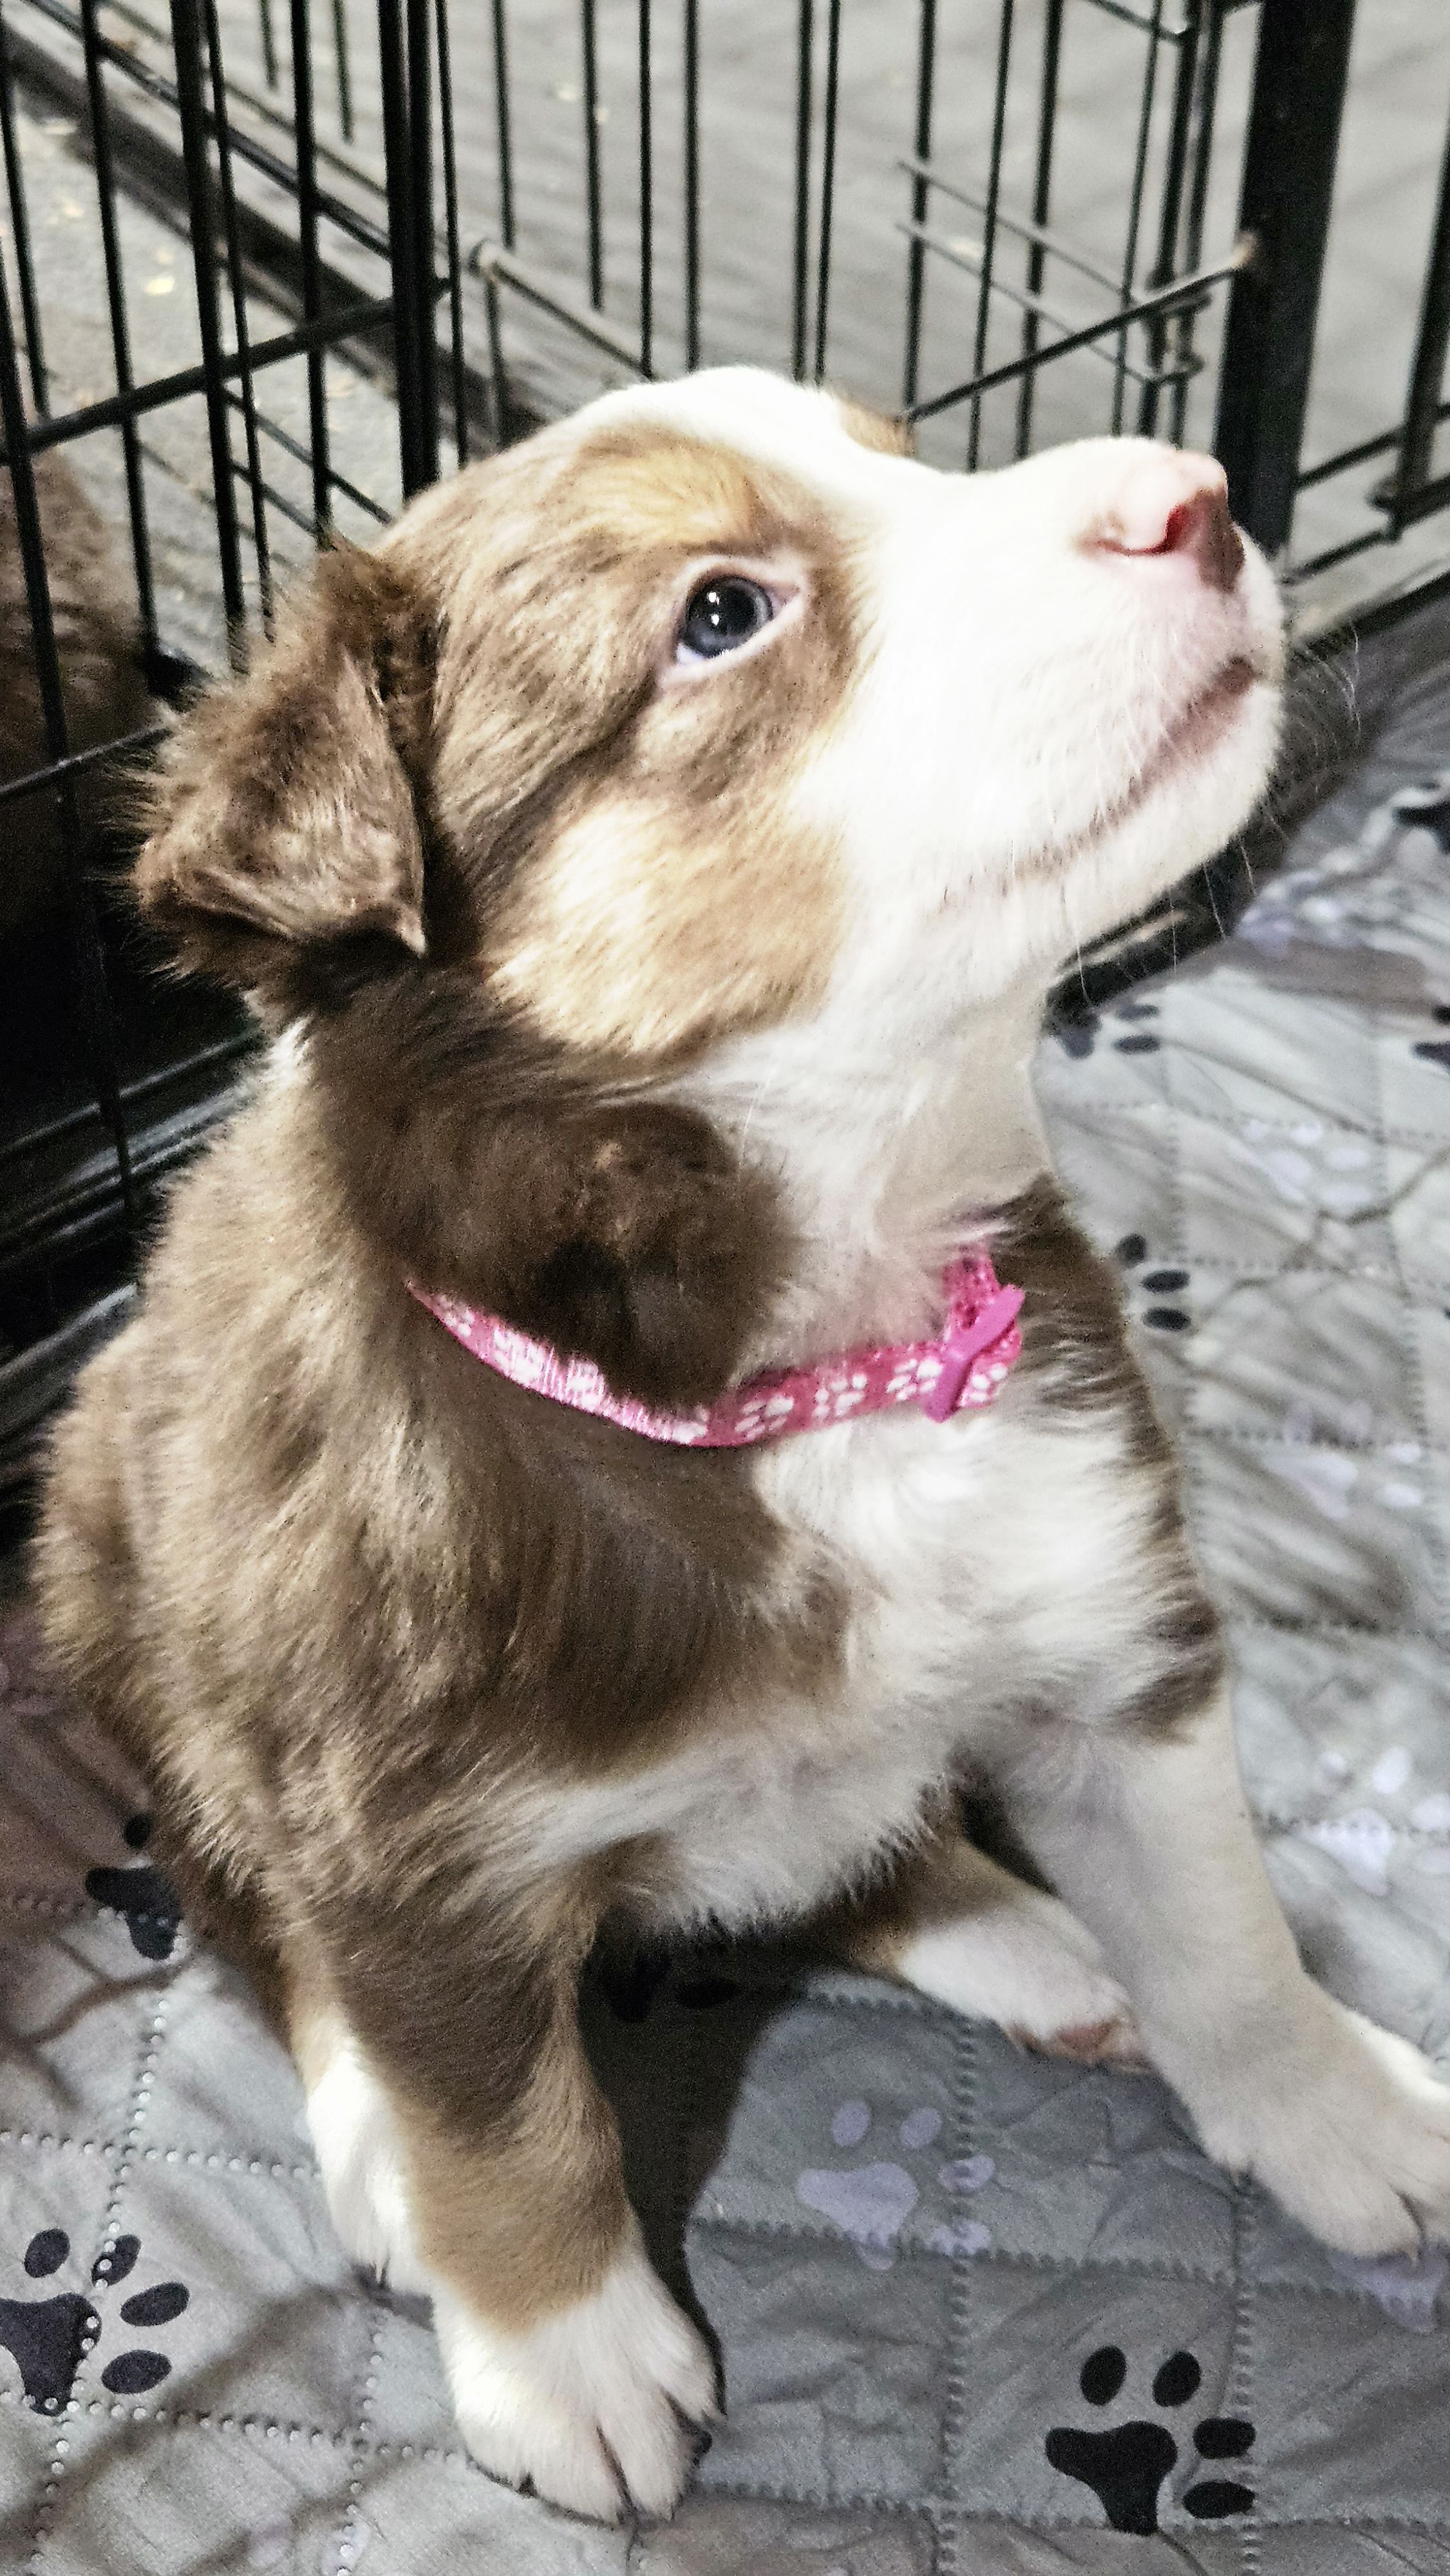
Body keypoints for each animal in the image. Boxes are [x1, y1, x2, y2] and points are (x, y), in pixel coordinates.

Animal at [35, 369, 1450, 2523]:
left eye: (910, 457)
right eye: (719, 613)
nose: (1193, 495)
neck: (807, 1380)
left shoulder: (1115, 1628)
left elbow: (1218, 1919)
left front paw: (1332, 2095)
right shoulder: (395, 1828)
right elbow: (499, 2111)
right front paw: (562, 2354)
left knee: (859, 1840)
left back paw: (1028, 1937)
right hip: (128, 1602)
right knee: (250, 1905)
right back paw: (370, 2142)